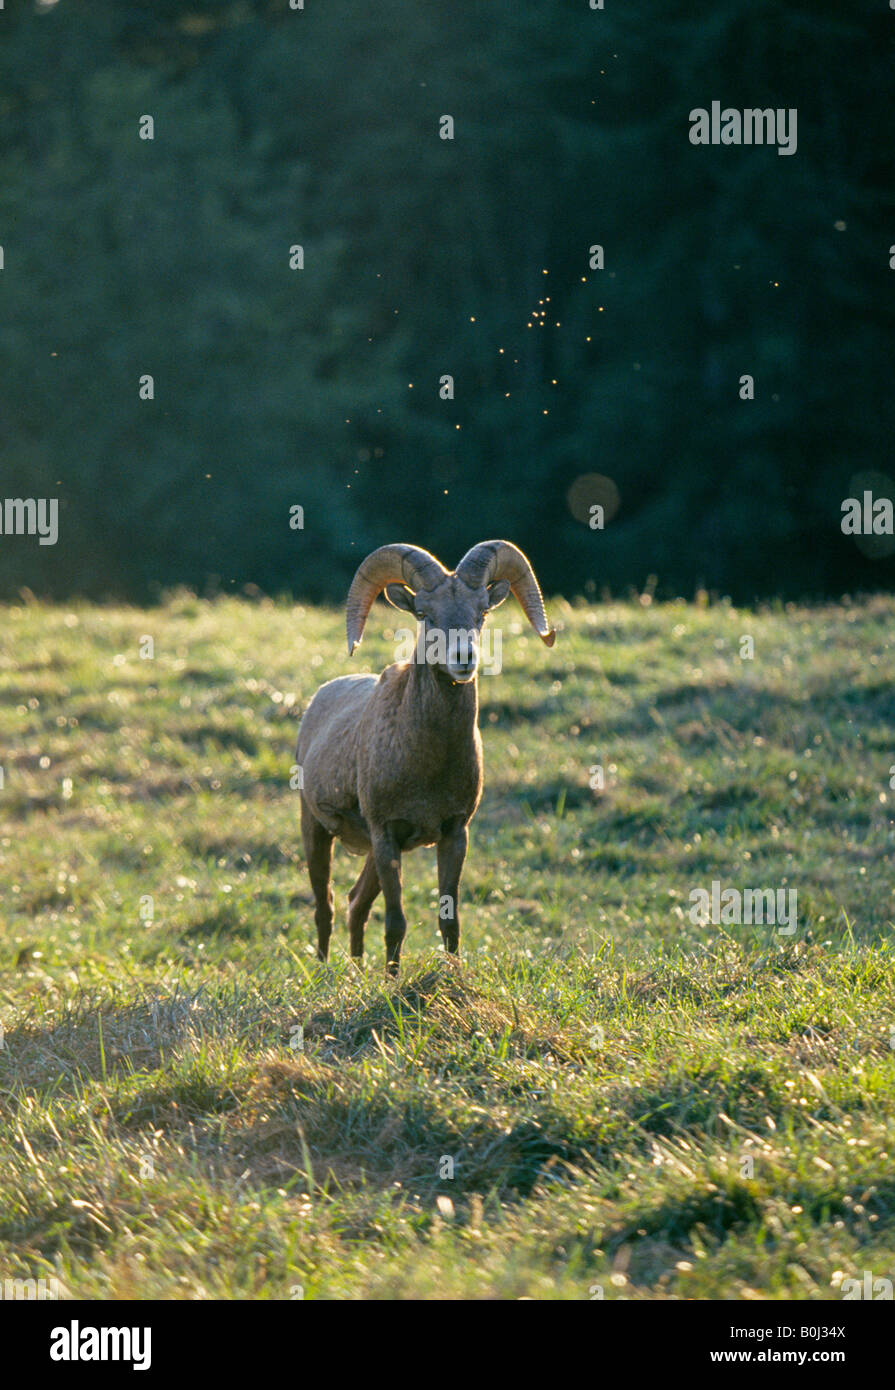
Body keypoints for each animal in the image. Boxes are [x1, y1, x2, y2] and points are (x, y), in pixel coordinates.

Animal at [297, 536, 555, 973]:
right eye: (424, 614)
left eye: (481, 612)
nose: (463, 659)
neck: (428, 766)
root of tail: (318, 699)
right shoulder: (386, 836)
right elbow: (396, 923)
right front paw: (392, 981)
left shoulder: (453, 834)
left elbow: (449, 921)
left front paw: (451, 975)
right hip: (315, 829)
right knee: (325, 907)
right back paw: (325, 973)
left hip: (368, 851)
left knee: (355, 904)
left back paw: (355, 974)